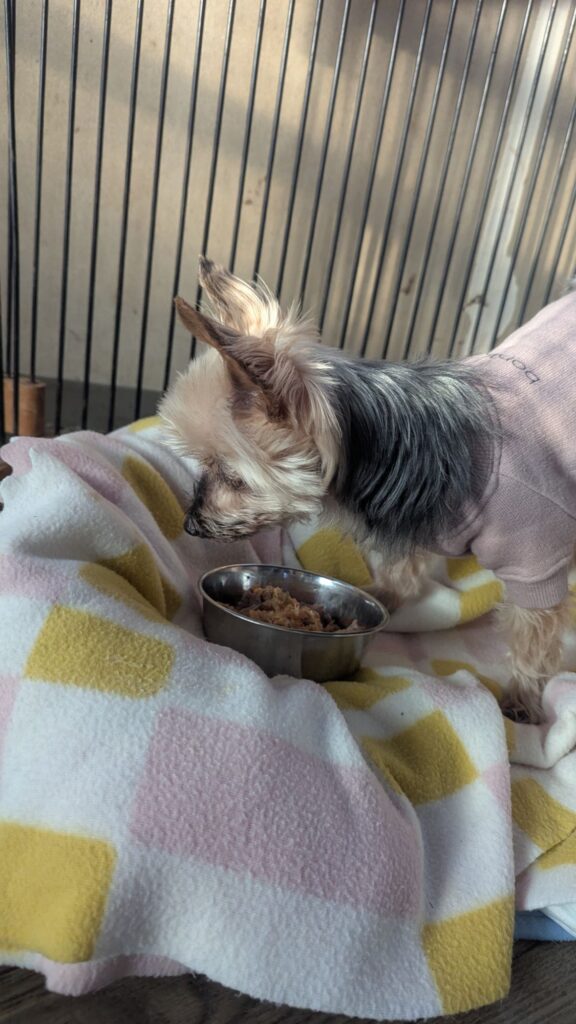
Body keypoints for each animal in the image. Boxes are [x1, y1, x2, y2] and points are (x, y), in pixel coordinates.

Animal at [159, 256, 576, 722]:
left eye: (232, 477)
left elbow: (534, 632)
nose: (190, 526)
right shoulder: (419, 517)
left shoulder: (535, 559)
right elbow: (404, 567)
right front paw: (386, 595)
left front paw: (523, 697)